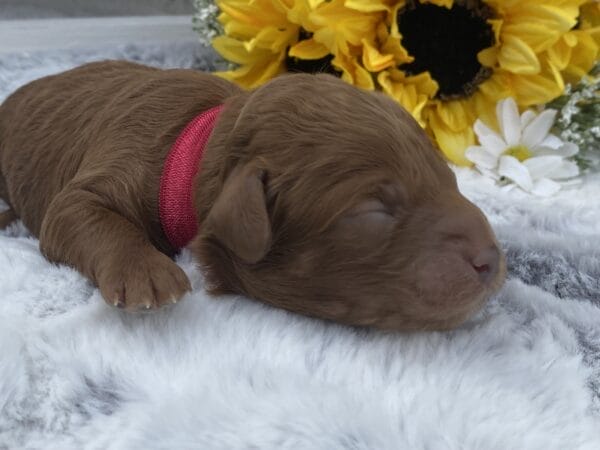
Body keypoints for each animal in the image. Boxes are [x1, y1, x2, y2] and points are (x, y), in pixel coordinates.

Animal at [0, 60, 506, 330]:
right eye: (372, 210)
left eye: (448, 178)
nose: (491, 259)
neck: (190, 143)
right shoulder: (116, 160)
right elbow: (81, 213)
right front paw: (146, 271)